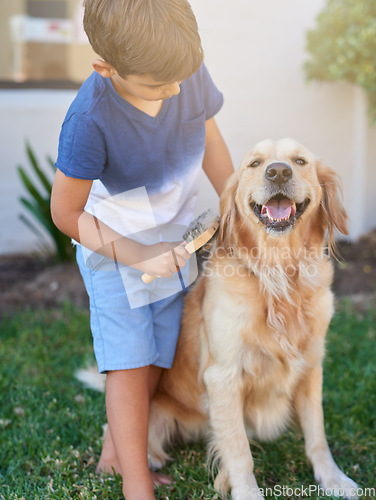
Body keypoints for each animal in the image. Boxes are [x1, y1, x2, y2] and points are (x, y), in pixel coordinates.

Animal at [147, 139, 358, 498]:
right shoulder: (223, 376)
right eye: (255, 164)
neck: (278, 274)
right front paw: (244, 490)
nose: (278, 172)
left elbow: (317, 434)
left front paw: (333, 478)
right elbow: (239, 450)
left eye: (299, 161)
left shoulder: (311, 366)